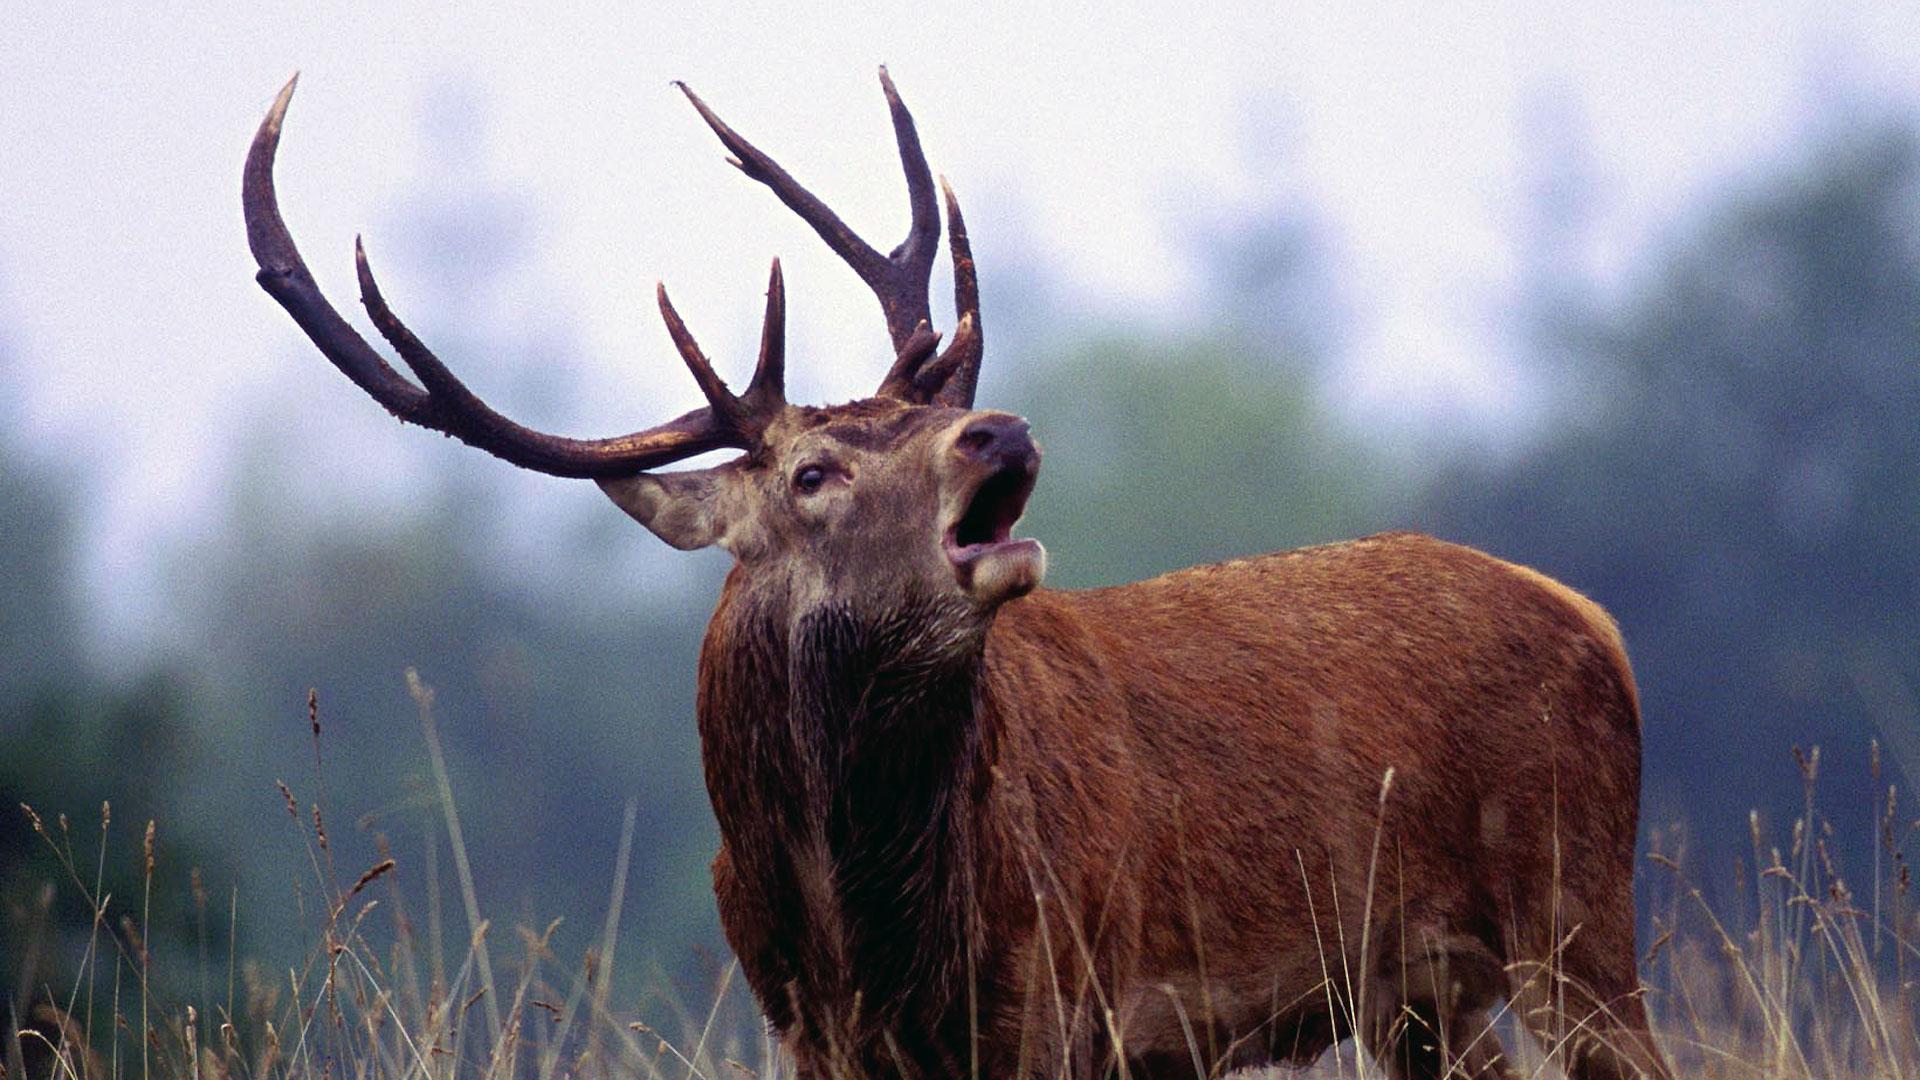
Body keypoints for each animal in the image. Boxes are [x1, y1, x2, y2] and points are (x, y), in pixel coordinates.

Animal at [244, 71, 1674, 1080]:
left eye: (930, 409)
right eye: (814, 470)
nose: (999, 429)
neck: (865, 923)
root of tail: (1594, 621)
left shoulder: (1071, 1000)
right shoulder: (813, 1036)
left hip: (1575, 904)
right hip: (1426, 994)